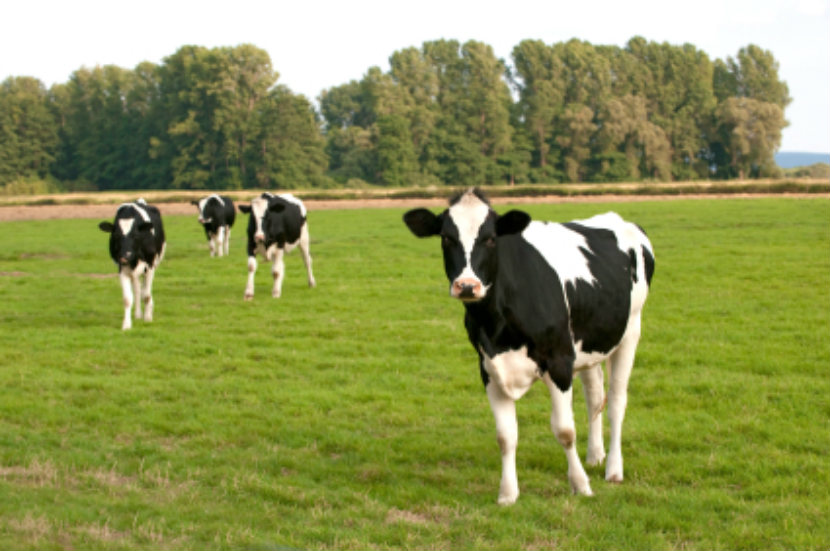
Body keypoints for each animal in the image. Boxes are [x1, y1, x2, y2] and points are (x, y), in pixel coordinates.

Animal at [98, 201, 167, 330]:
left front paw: (148, 318)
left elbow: (147, 295)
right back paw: (138, 314)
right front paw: (126, 324)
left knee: (144, 291)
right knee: (137, 289)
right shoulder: (122, 269)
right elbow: (127, 299)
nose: (125, 256)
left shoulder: (150, 267)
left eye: (135, 235)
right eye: (116, 236)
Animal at [404, 190, 656, 504]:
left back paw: (613, 469)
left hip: (630, 330)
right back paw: (595, 455)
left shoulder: (559, 360)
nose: (467, 286)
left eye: (490, 238)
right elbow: (505, 435)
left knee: (616, 402)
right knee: (595, 395)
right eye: (446, 238)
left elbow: (565, 430)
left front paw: (580, 485)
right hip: (588, 344)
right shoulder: (489, 367)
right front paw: (508, 494)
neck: (498, 324)